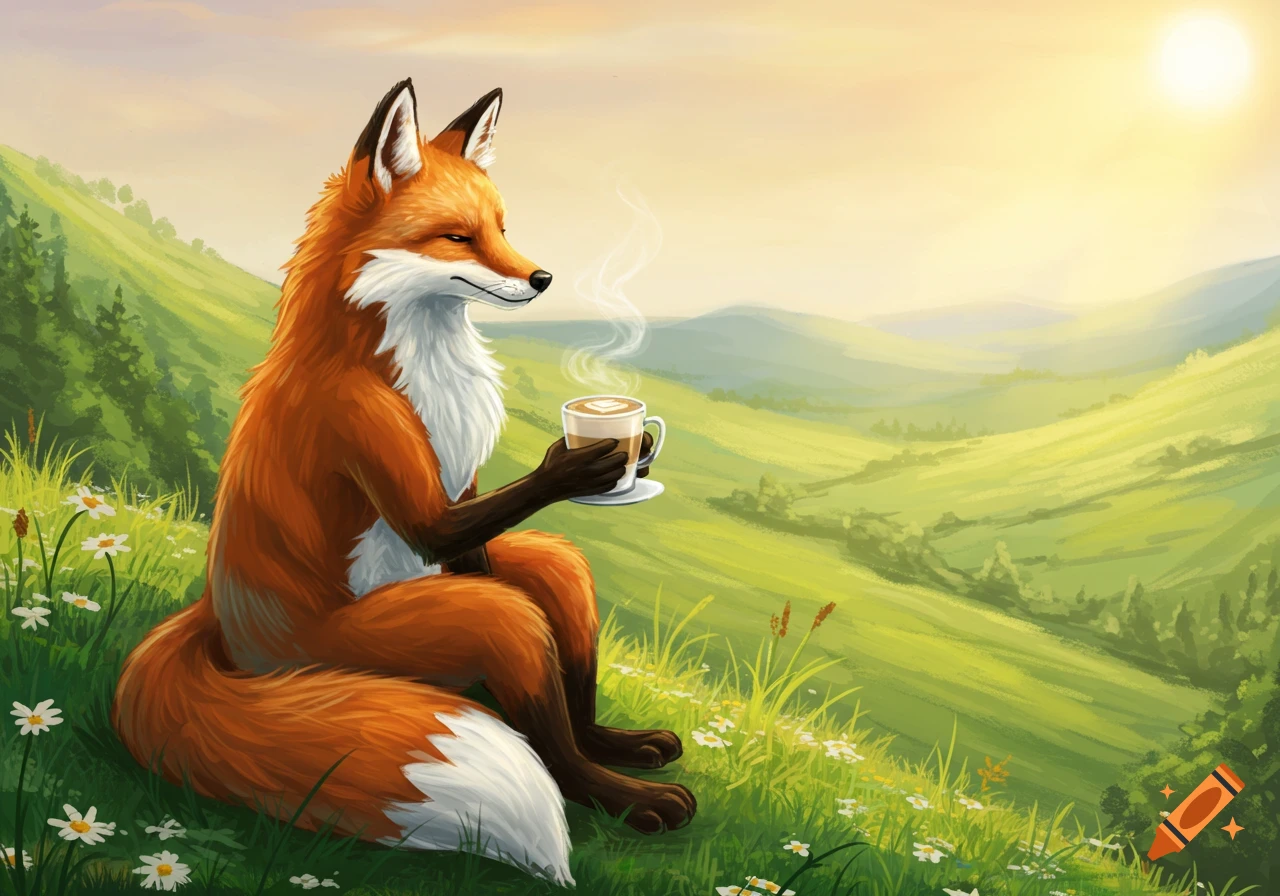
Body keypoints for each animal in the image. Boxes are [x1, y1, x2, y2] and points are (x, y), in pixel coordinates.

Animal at [111, 79, 695, 885]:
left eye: (502, 227)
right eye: (457, 237)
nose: (543, 277)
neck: (418, 369)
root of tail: (226, 632)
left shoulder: (466, 496)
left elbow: (472, 537)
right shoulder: (369, 437)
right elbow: (429, 521)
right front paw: (581, 463)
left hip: (536, 573)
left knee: (559, 597)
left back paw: (620, 747)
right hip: (420, 633)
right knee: (533, 676)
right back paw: (626, 800)